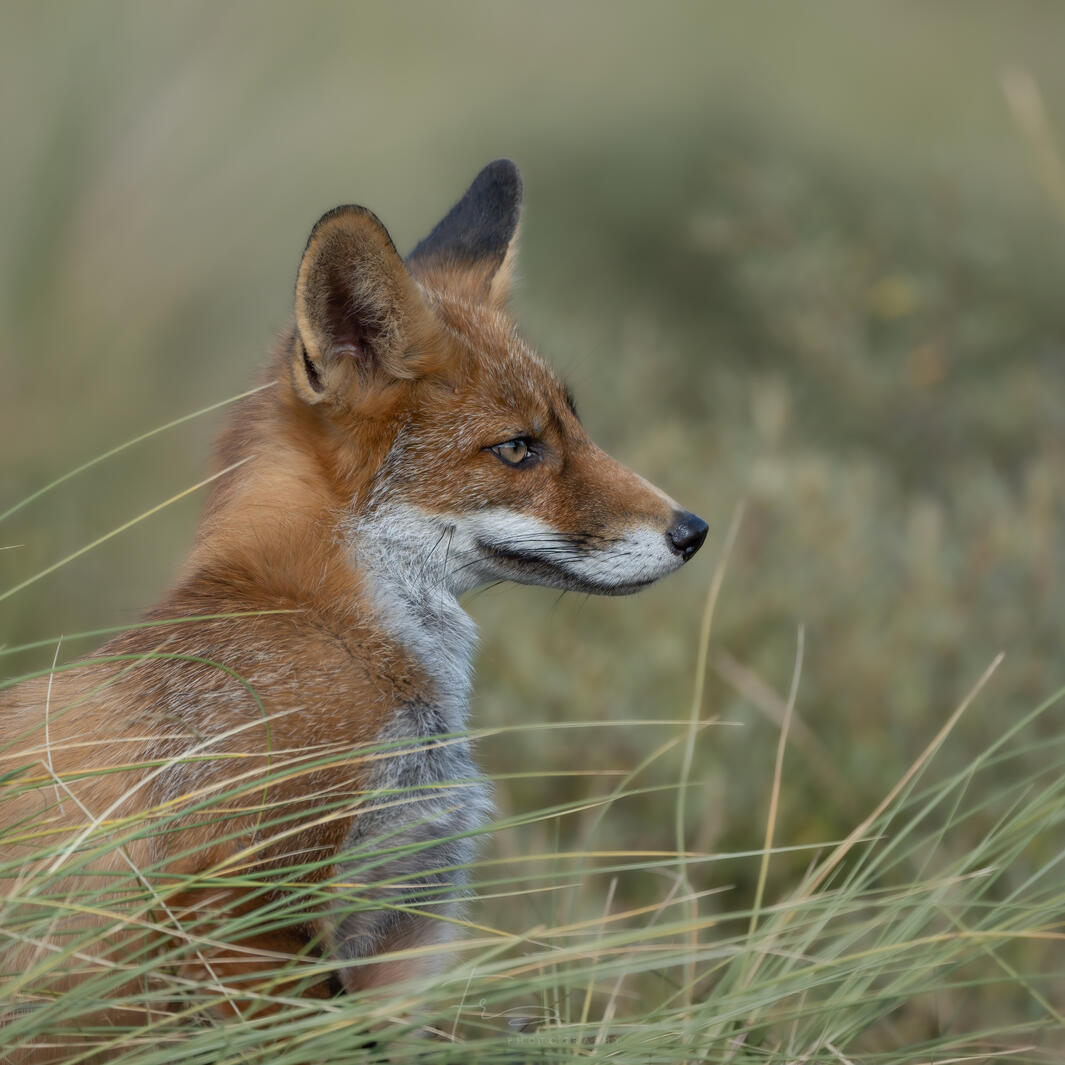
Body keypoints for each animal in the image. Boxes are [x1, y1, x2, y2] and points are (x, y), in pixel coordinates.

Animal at [0, 159, 707, 1056]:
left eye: (575, 427)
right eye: (518, 448)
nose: (692, 530)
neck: (334, 632)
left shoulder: (399, 928)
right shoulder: (236, 902)